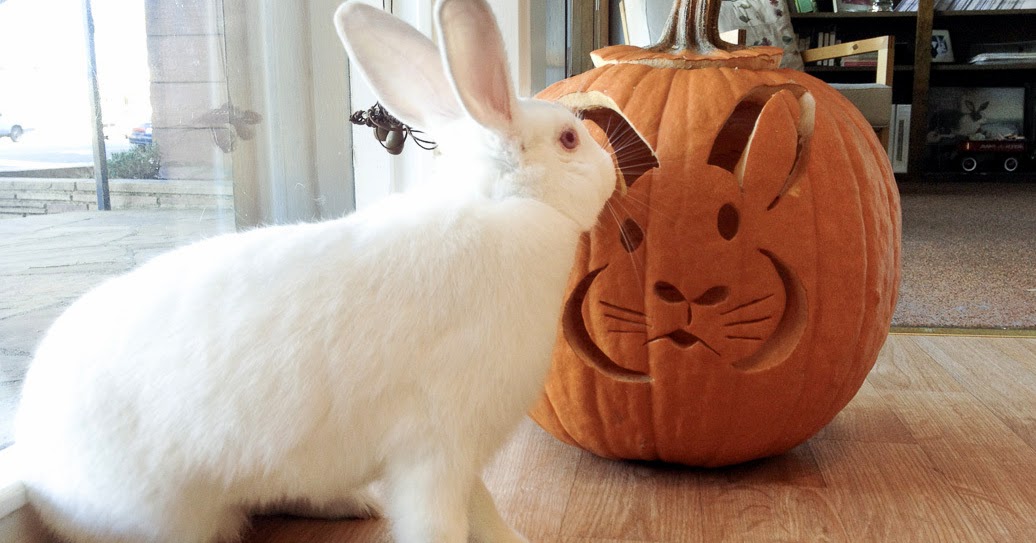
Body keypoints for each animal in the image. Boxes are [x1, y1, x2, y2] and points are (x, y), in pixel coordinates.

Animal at [12, 1, 617, 542]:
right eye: (569, 139)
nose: (613, 166)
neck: (506, 205)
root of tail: (33, 462)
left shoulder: (459, 457)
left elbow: (486, 511)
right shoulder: (436, 449)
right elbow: (440, 522)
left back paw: (356, 503)